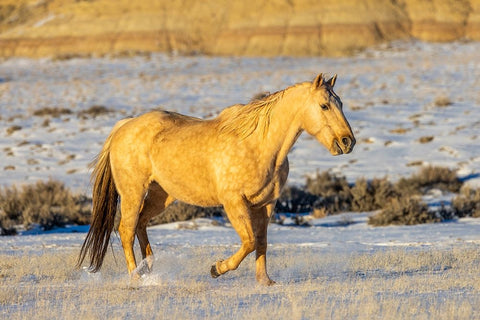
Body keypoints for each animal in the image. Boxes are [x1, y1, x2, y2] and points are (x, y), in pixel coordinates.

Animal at [77, 74, 354, 286]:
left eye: (340, 102)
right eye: (324, 105)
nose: (347, 142)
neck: (259, 146)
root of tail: (124, 126)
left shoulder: (266, 204)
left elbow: (261, 242)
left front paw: (265, 282)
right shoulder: (234, 203)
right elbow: (250, 242)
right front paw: (217, 268)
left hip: (161, 196)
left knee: (141, 224)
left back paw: (148, 268)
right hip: (133, 193)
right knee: (126, 229)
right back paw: (136, 277)